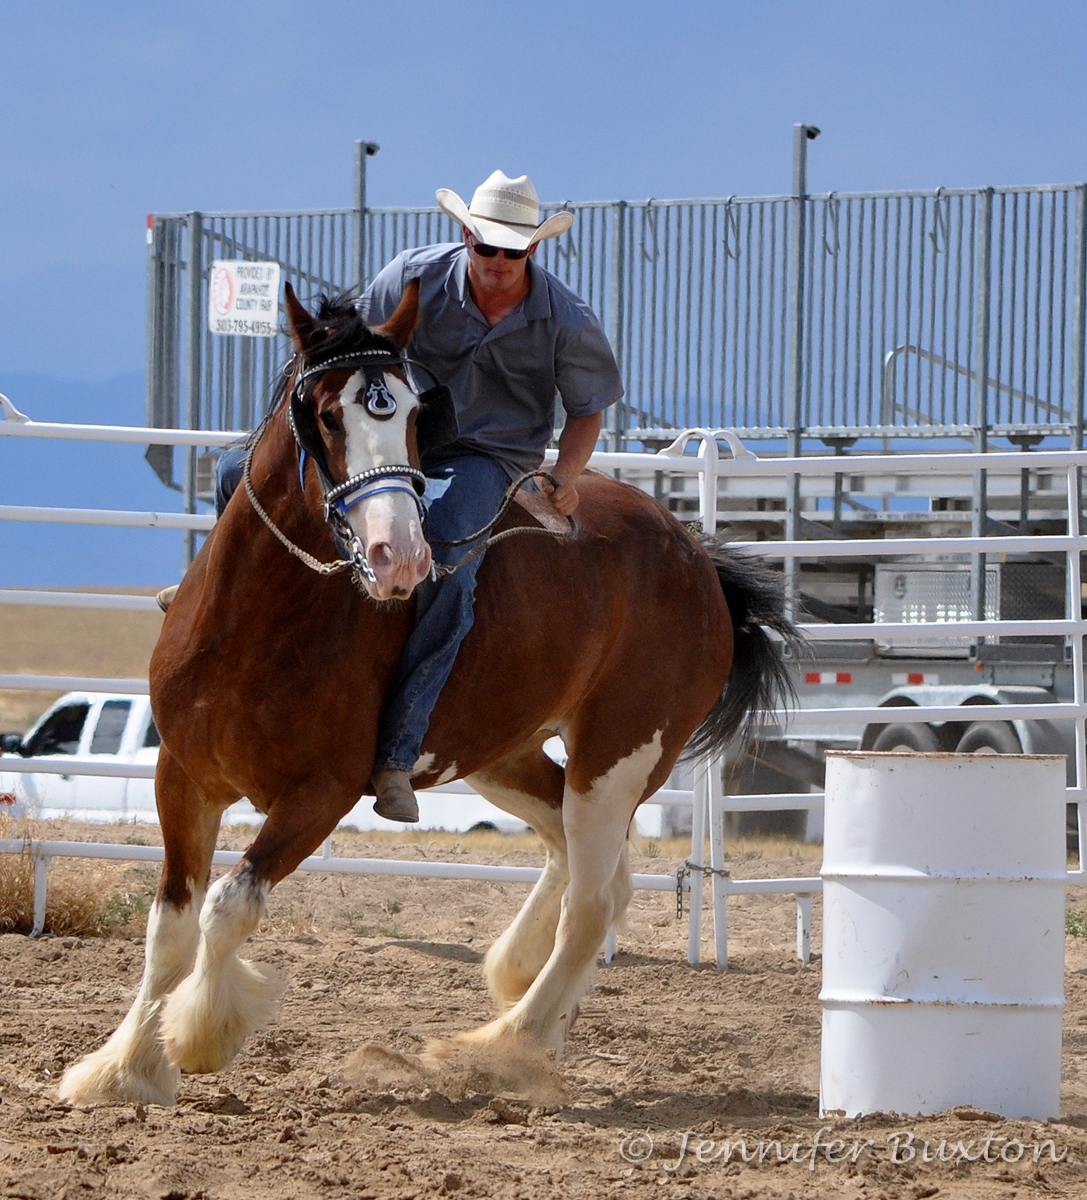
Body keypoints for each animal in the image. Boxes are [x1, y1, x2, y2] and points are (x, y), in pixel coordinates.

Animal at [59, 282, 796, 1106]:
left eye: (413, 411)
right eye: (325, 412)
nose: (398, 556)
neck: (258, 622)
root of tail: (696, 560)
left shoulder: (321, 793)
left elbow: (229, 908)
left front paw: (199, 1037)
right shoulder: (182, 777)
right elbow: (171, 927)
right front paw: (121, 1068)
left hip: (622, 753)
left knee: (591, 900)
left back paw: (505, 1047)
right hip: (503, 754)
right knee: (582, 859)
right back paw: (522, 984)